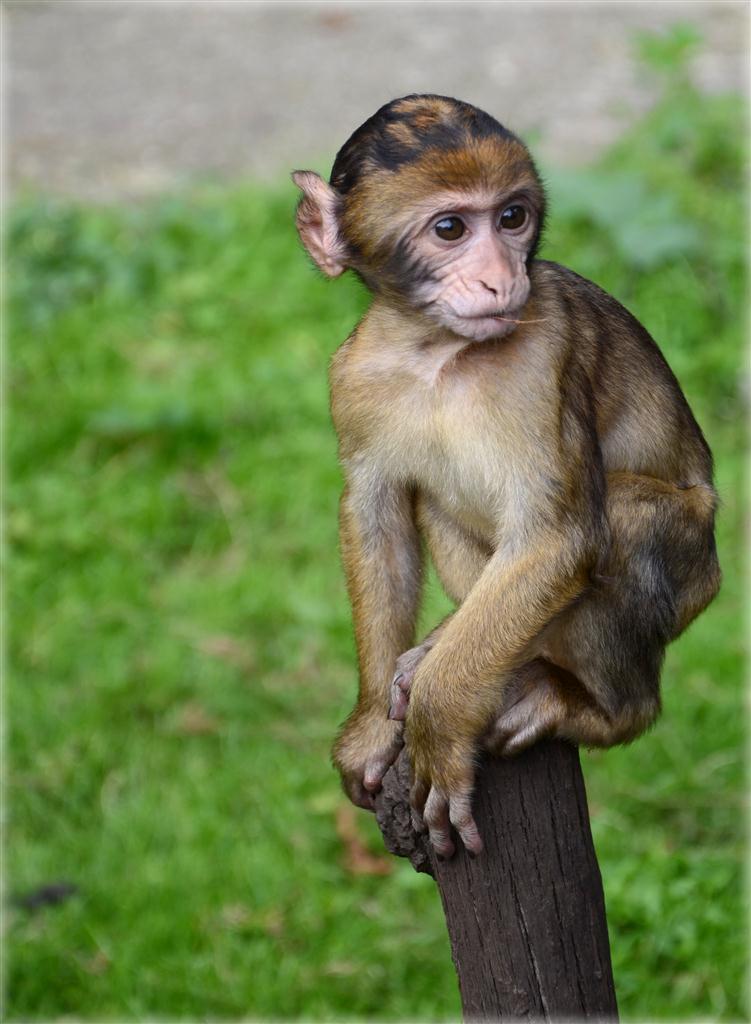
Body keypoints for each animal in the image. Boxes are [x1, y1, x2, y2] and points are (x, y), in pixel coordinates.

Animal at [292, 94, 720, 858]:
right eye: (450, 228)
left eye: (512, 217)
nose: (502, 277)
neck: (437, 351)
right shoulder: (353, 377)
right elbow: (376, 511)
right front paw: (372, 726)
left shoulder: (542, 354)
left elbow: (557, 538)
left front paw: (436, 727)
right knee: (437, 500)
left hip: (691, 564)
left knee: (623, 524)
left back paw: (602, 708)